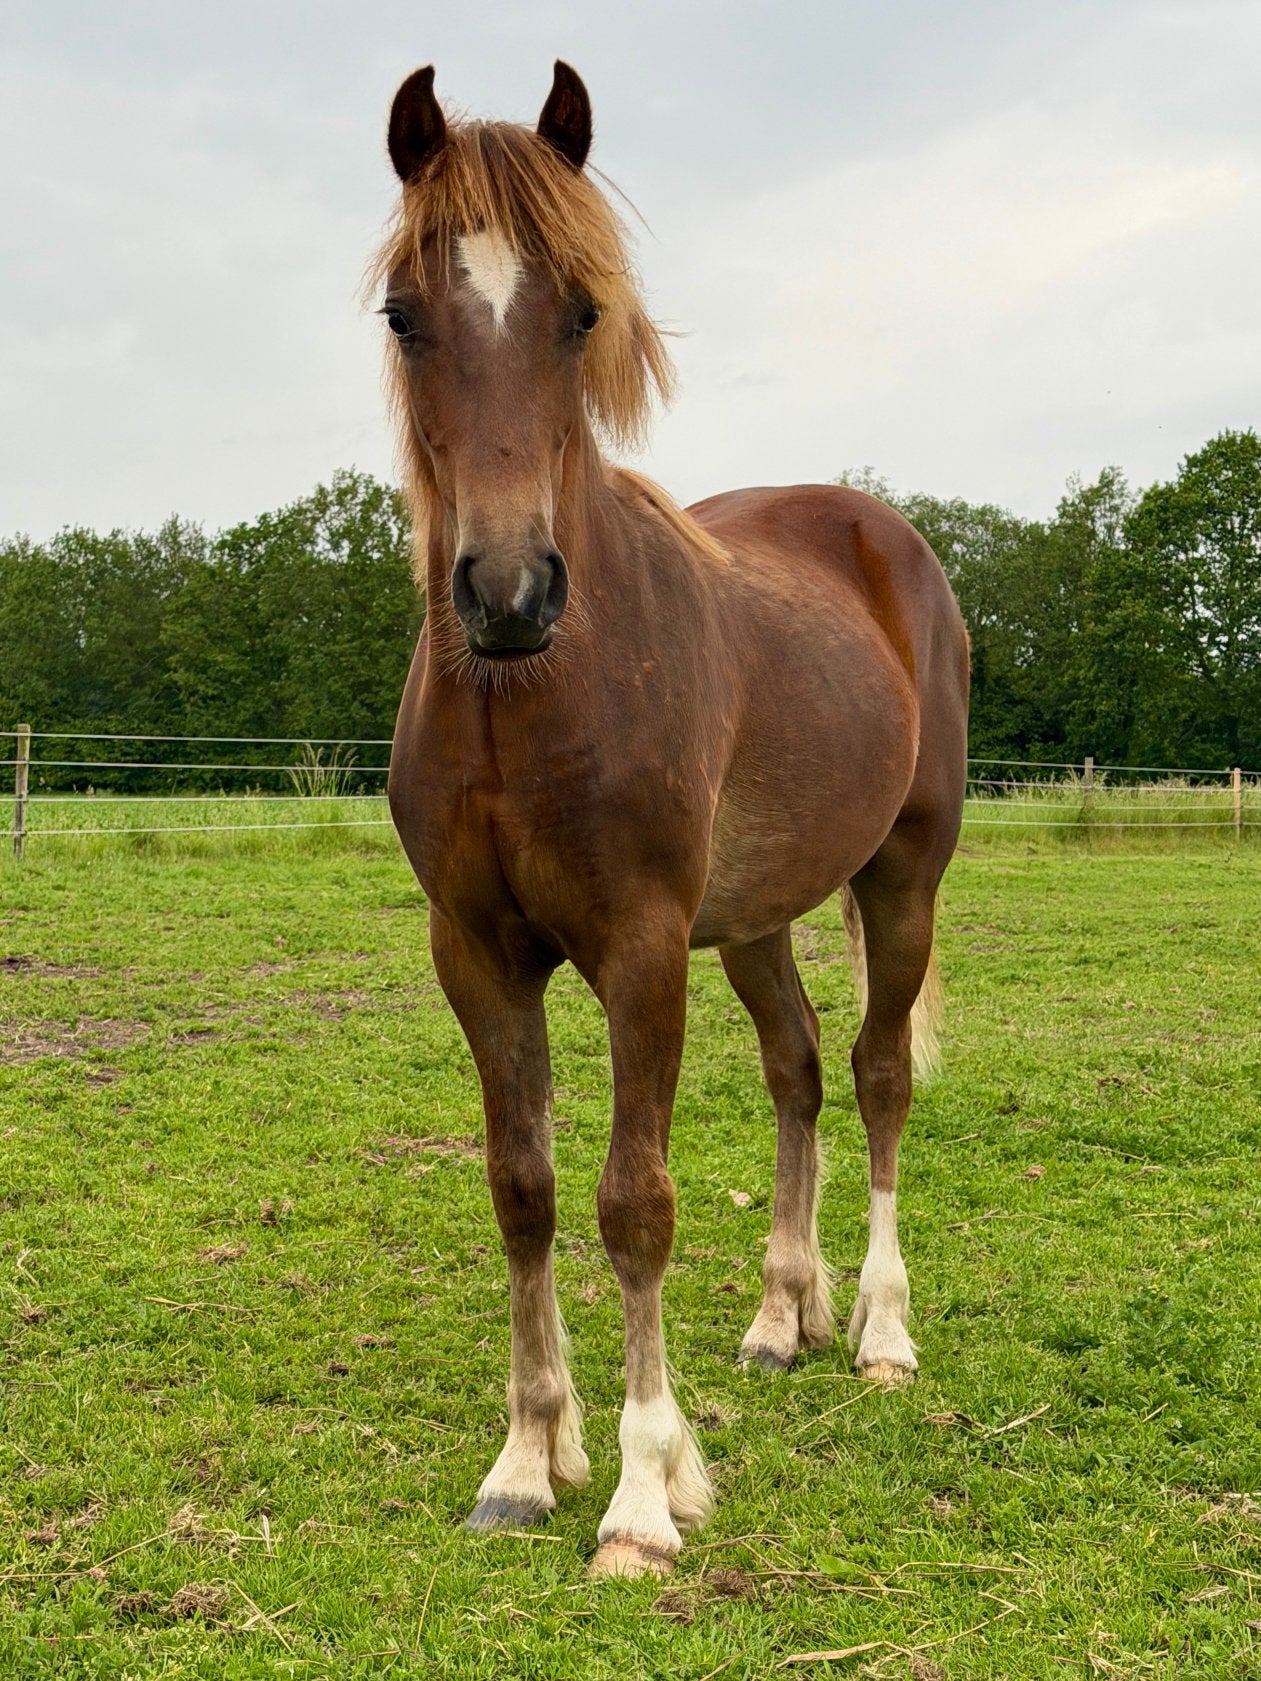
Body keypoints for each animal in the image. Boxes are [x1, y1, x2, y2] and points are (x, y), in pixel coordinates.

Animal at [377, 61, 969, 1579]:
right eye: (405, 313)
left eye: (581, 311)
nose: (508, 591)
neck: (527, 699)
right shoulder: (477, 953)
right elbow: (522, 1189)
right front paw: (529, 1458)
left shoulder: (641, 950)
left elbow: (631, 1202)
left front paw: (645, 1493)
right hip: (752, 920)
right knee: (800, 1071)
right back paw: (780, 1316)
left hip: (901, 878)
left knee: (877, 1076)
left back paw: (879, 1331)